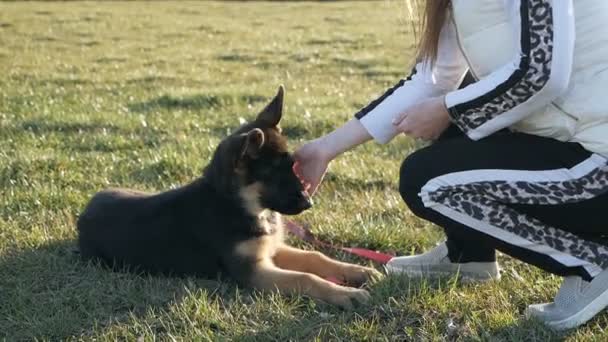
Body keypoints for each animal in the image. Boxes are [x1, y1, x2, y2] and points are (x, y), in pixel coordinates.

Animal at [76, 87, 380, 308]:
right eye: (274, 175)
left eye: (293, 166)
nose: (309, 203)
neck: (239, 205)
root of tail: (86, 211)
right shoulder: (253, 271)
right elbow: (306, 277)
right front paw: (346, 294)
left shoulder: (271, 248)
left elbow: (316, 258)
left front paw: (359, 272)